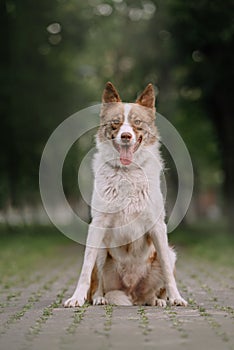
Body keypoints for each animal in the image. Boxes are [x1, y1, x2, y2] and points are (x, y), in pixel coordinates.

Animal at [64, 82, 188, 306]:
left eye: (137, 122)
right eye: (116, 122)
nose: (126, 136)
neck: (127, 172)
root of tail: (132, 293)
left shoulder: (158, 226)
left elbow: (167, 271)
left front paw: (176, 298)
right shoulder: (97, 225)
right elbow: (86, 268)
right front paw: (77, 298)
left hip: (170, 253)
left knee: (156, 284)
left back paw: (156, 300)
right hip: (102, 250)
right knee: (98, 283)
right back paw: (99, 298)